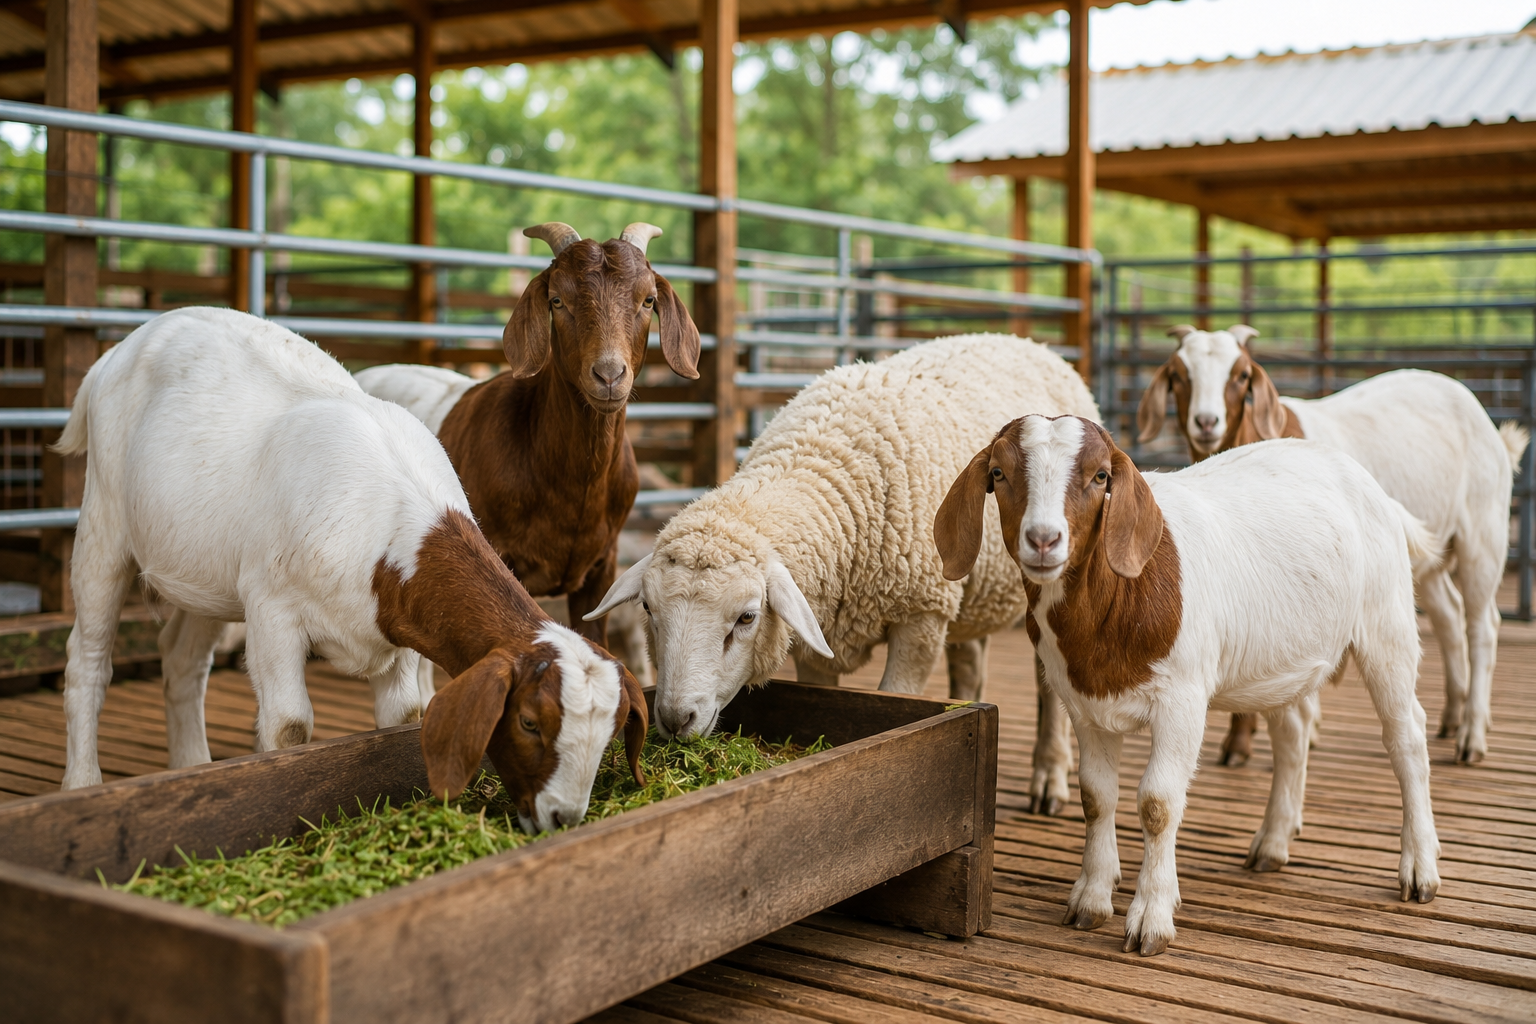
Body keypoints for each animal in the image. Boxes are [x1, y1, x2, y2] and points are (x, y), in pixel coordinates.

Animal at [57, 307, 645, 833]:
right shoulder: (272, 611)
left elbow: (403, 719)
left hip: (208, 570)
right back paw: (82, 783)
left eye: (610, 732)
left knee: (182, 658)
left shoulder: (402, 634)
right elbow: (289, 727)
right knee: (88, 660)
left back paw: (192, 767)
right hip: (103, 518)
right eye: (528, 721)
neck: (392, 517)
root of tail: (125, 346)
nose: (562, 817)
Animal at [586, 334, 1098, 768]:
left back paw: (1050, 774)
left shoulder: (921, 615)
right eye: (647, 608)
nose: (675, 720)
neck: (822, 460)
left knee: (1050, 683)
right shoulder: (818, 629)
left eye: (747, 617)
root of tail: (1031, 343)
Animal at [936, 416, 1442, 956]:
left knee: (1406, 735)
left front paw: (1151, 919)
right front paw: (1090, 900)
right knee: (1293, 732)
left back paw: (1419, 869)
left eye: (1099, 476)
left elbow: (1157, 803)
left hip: (1386, 620)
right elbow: (1096, 796)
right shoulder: (1083, 704)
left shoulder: (1182, 698)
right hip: (1283, 657)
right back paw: (1272, 844)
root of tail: (1370, 485)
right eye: (998, 473)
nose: (1044, 539)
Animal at [1138, 325, 1528, 764]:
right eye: (1177, 375)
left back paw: (1472, 736)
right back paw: (1452, 715)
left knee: (1482, 623)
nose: (1206, 421)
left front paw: (1248, 742)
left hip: (1483, 530)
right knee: (1448, 613)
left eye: (1241, 375)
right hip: (1420, 558)